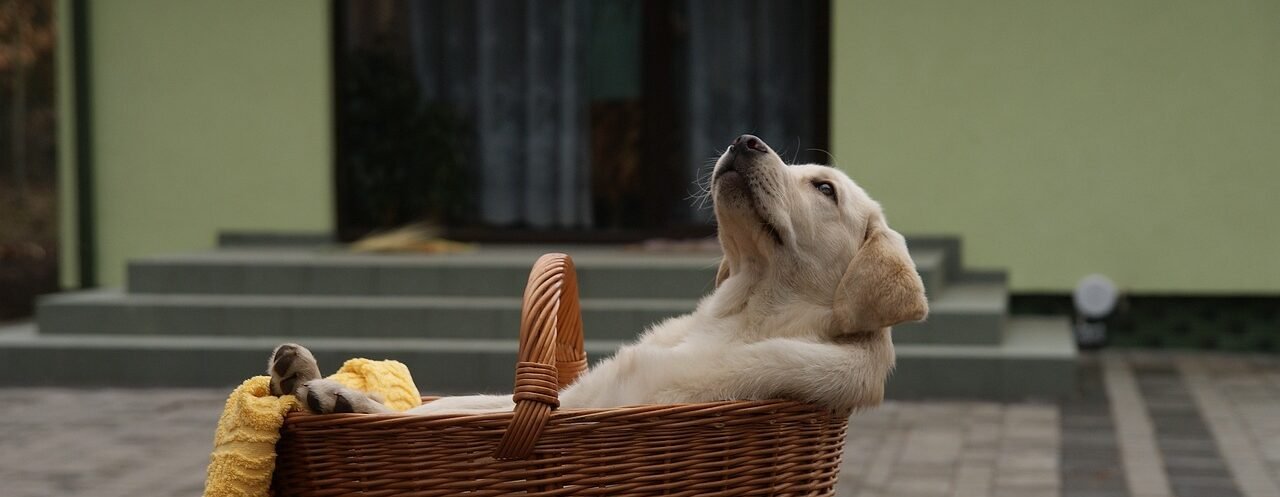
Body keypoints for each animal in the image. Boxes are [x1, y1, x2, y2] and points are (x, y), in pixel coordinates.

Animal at [270, 133, 931, 412]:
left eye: (824, 189)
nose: (746, 140)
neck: (739, 315)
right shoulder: (566, 395)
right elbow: (439, 409)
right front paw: (332, 388)